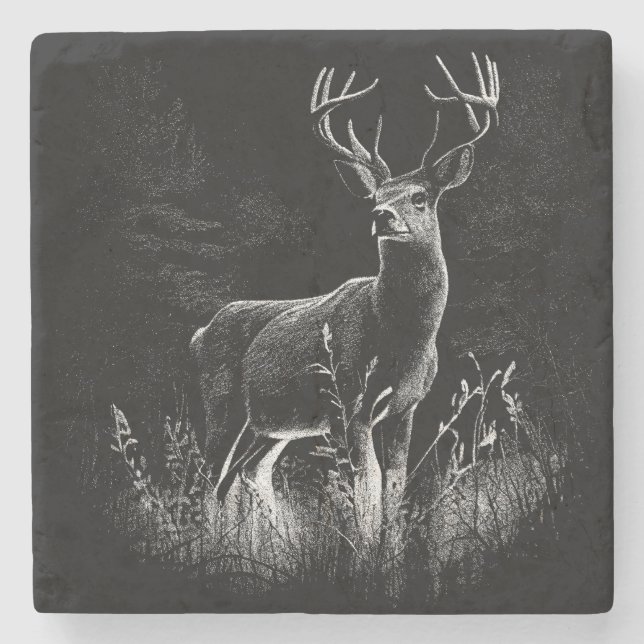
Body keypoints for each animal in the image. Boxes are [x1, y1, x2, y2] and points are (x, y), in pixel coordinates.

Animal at [190, 53, 500, 541]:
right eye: (375, 196)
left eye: (420, 196)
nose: (381, 215)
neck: (399, 336)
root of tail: (200, 333)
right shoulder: (347, 400)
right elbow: (365, 485)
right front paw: (364, 551)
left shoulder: (406, 407)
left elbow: (393, 485)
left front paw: (388, 551)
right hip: (222, 402)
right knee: (208, 477)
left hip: (272, 425)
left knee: (245, 474)